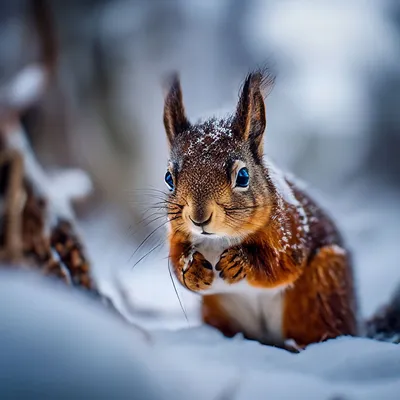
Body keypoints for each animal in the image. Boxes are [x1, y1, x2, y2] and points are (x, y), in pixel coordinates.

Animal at [161, 70, 358, 348]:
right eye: (169, 178)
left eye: (243, 176)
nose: (199, 218)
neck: (220, 239)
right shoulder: (176, 235)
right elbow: (177, 265)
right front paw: (192, 268)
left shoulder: (290, 230)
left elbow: (281, 265)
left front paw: (240, 261)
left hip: (322, 290)